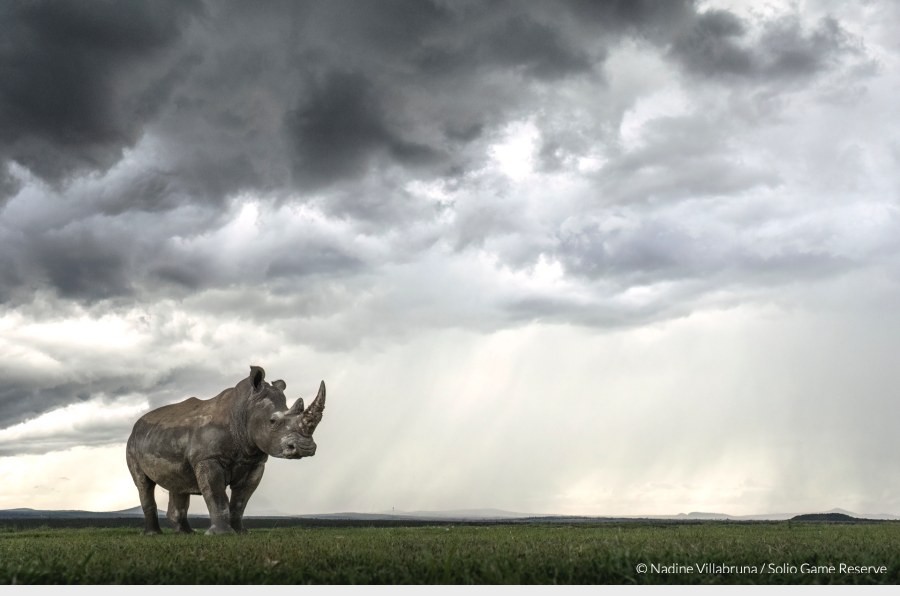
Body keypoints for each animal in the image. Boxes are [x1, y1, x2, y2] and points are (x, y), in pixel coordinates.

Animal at [125, 365, 326, 535]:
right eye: (273, 421)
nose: (305, 448)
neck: (243, 411)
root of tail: (136, 426)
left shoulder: (255, 463)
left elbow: (240, 501)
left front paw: (241, 533)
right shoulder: (208, 458)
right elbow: (217, 495)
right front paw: (221, 534)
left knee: (178, 483)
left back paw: (186, 534)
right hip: (132, 444)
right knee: (144, 484)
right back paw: (153, 534)